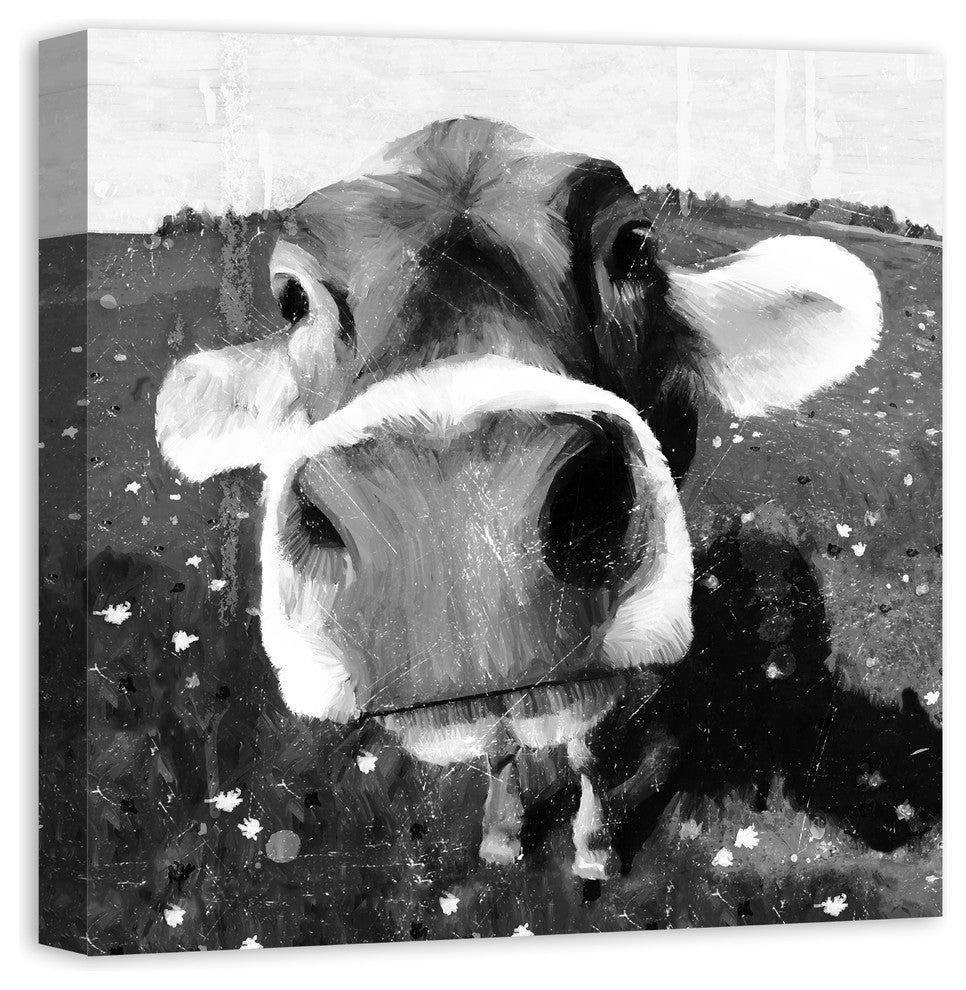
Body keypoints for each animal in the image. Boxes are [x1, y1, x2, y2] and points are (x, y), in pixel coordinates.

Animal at [155, 117, 882, 880]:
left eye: (634, 245)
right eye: (292, 299)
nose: (449, 513)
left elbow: (588, 742)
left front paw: (594, 849)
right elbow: (498, 744)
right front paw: (501, 835)